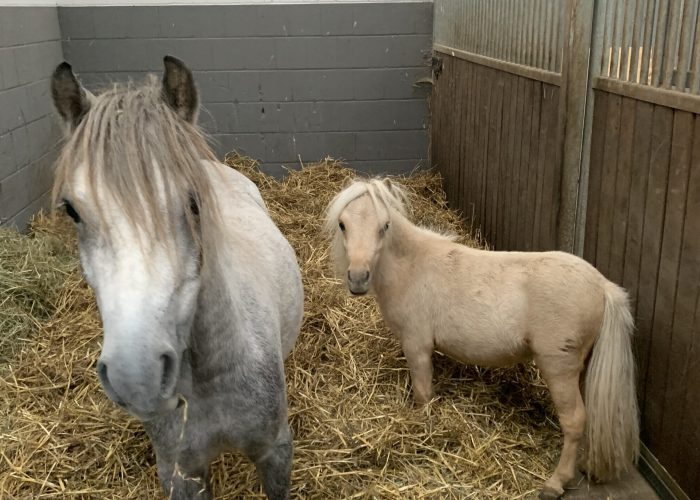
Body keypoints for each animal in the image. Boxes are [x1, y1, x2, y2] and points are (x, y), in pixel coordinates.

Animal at [324, 178, 640, 498]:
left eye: (384, 225)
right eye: (342, 224)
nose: (358, 279)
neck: (412, 266)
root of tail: (602, 286)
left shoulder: (417, 346)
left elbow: (423, 396)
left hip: (558, 368)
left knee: (575, 420)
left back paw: (556, 482)